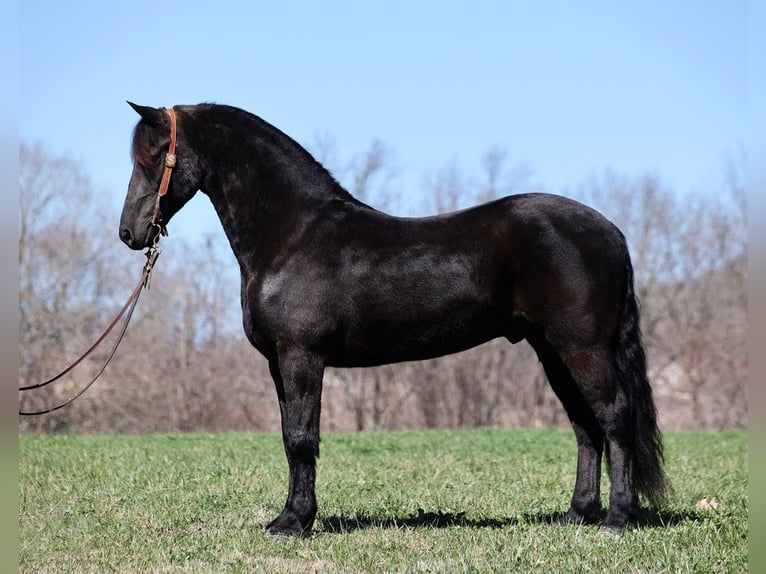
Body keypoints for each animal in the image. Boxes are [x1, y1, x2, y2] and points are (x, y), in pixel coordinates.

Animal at [118, 101, 664, 536]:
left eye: (154, 157)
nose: (129, 233)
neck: (292, 234)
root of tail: (610, 230)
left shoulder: (301, 357)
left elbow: (301, 439)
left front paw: (295, 523)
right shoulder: (278, 364)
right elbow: (289, 436)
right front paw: (288, 517)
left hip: (581, 348)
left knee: (614, 416)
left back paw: (617, 519)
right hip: (552, 351)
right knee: (584, 425)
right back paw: (577, 514)